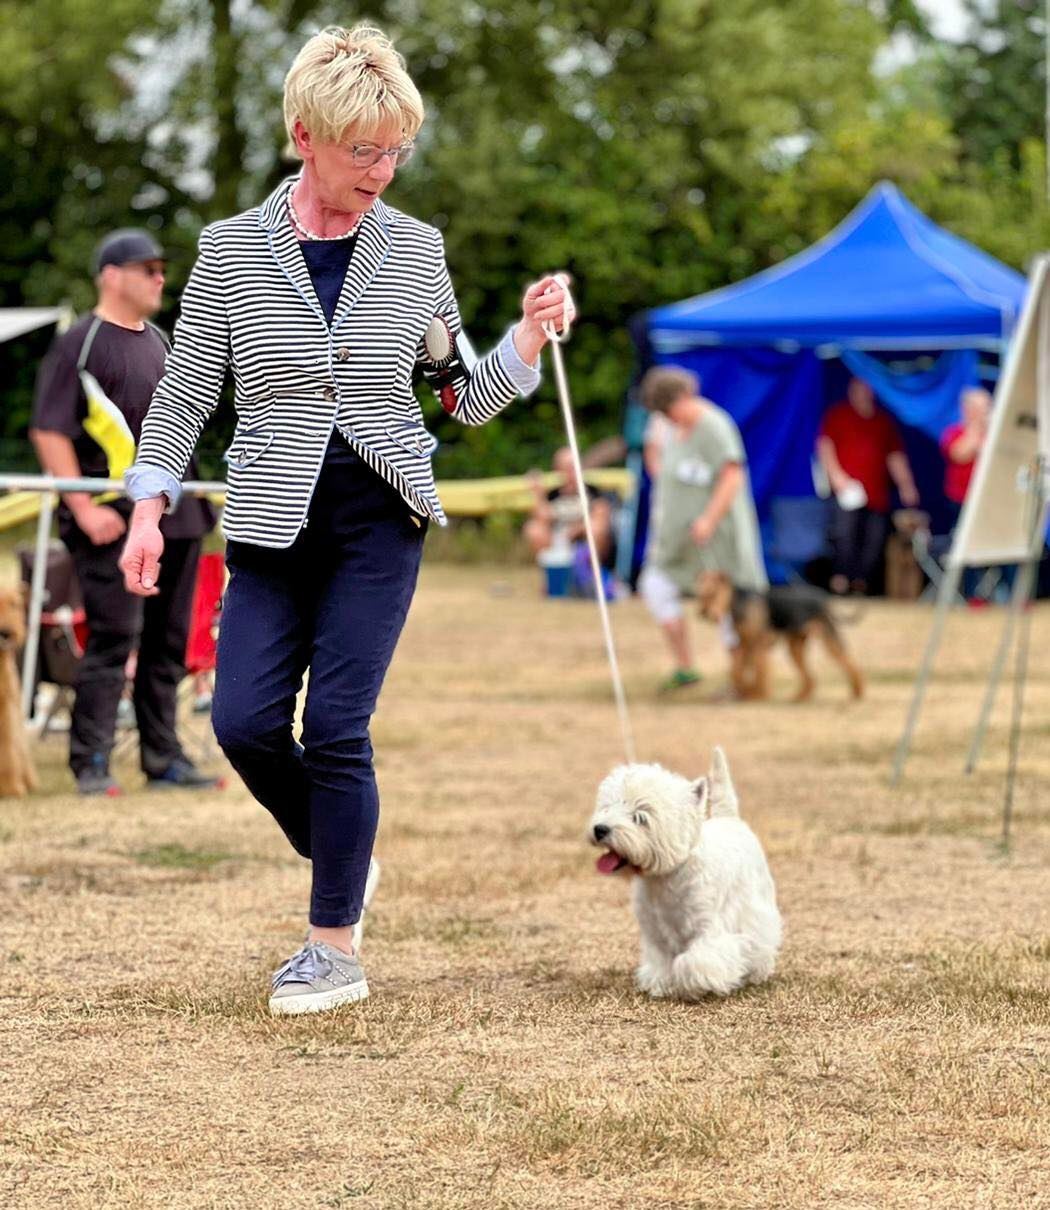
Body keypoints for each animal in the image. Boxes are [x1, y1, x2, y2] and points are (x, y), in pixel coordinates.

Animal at [590, 750, 779, 997]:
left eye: (640, 817)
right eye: (607, 807)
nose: (599, 829)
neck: (665, 878)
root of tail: (730, 819)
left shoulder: (708, 928)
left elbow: (695, 960)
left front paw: (695, 985)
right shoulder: (654, 932)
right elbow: (660, 961)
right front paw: (661, 984)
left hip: (756, 907)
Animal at [696, 571, 861, 706]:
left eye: (712, 593)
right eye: (700, 594)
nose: (703, 613)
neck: (736, 603)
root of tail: (824, 597)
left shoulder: (758, 645)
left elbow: (759, 672)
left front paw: (758, 696)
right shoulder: (744, 645)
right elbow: (736, 672)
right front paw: (746, 692)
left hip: (828, 637)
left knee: (850, 662)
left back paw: (858, 693)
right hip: (795, 646)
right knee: (811, 678)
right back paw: (799, 698)